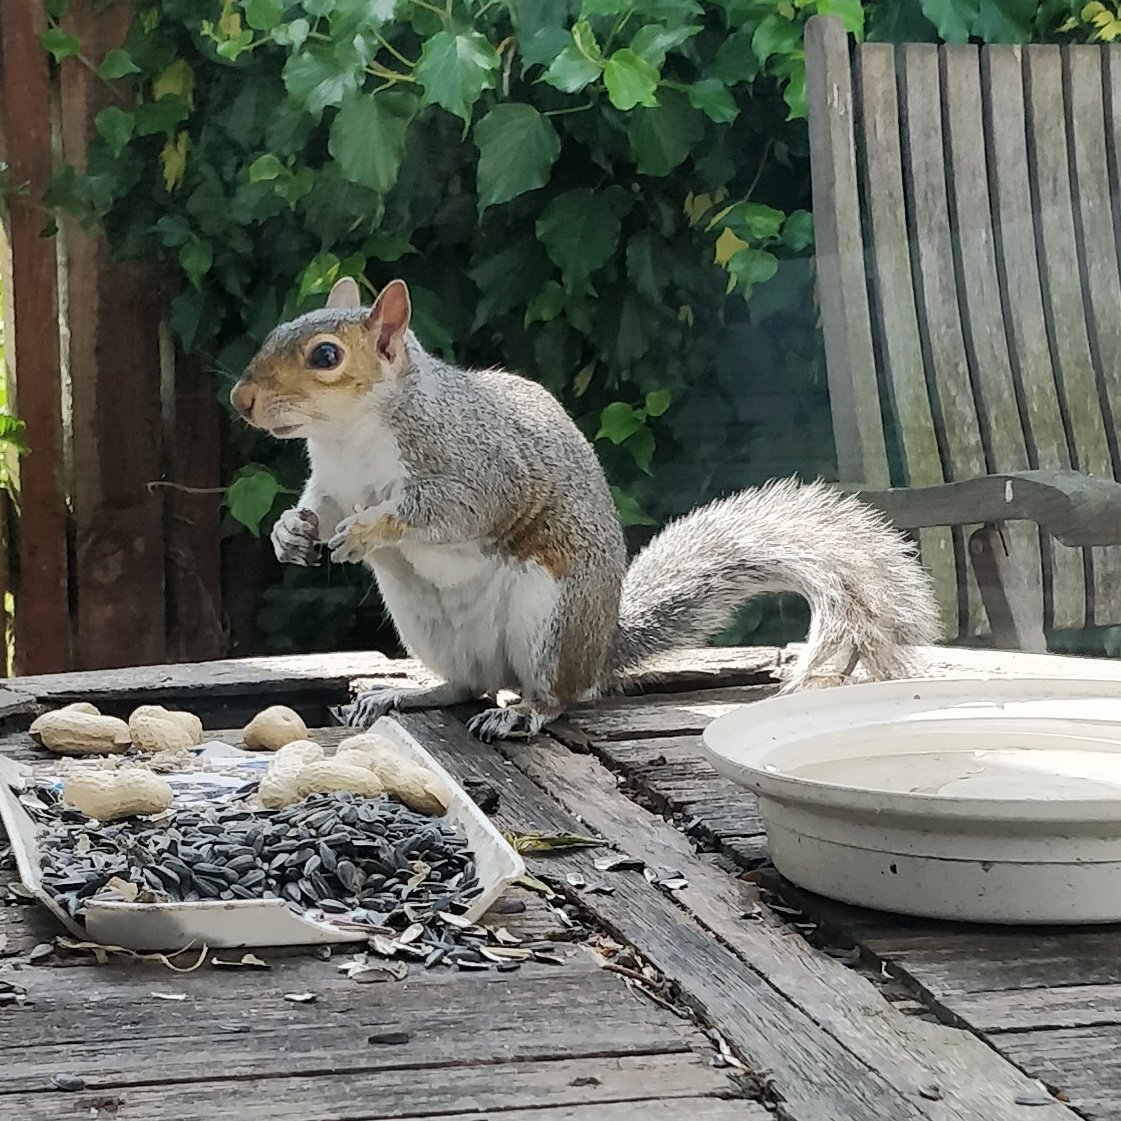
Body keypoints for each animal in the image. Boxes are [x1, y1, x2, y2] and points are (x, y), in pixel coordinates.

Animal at [227, 275, 937, 739]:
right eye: (273, 332)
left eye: (326, 356)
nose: (241, 400)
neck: (349, 436)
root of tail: (600, 648)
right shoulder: (330, 481)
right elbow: (315, 507)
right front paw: (290, 533)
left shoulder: (478, 467)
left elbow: (450, 510)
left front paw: (371, 529)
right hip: (428, 627)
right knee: (464, 684)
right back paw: (402, 695)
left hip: (551, 618)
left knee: (556, 696)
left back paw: (521, 713)